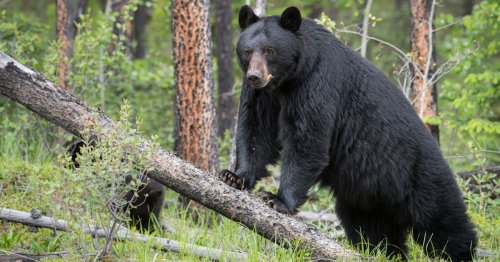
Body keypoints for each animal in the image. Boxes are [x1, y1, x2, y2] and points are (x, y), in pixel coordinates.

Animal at [221, 5, 478, 260]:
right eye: (247, 51)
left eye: (270, 50)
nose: (255, 76)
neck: (288, 79)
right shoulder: (263, 95)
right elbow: (256, 129)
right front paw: (234, 176)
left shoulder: (317, 83)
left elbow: (308, 139)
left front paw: (277, 199)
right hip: (364, 198)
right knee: (373, 231)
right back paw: (384, 252)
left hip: (422, 179)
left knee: (443, 223)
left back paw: (462, 251)